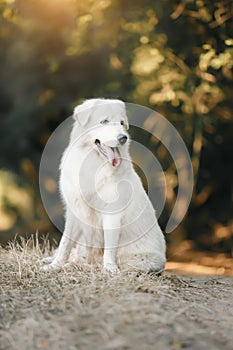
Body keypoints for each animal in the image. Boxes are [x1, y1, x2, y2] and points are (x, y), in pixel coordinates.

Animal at [41, 98, 166, 274]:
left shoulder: (112, 215)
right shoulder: (74, 211)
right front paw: (54, 266)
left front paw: (109, 269)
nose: (123, 138)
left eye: (121, 123)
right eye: (104, 121)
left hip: (141, 261)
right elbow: (65, 243)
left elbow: (109, 247)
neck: (93, 163)